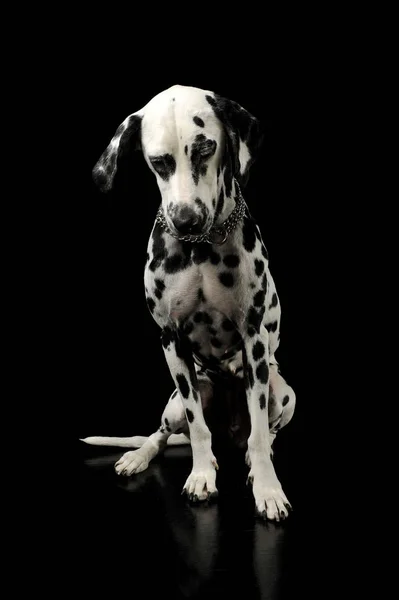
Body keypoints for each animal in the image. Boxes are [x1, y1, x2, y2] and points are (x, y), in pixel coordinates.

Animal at [83, 84, 296, 520]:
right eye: (158, 162)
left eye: (205, 149)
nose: (185, 220)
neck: (200, 250)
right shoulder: (172, 342)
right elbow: (198, 429)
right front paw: (201, 477)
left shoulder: (254, 343)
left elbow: (260, 435)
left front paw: (267, 488)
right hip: (176, 402)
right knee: (162, 433)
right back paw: (140, 455)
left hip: (283, 391)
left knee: (261, 433)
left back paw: (253, 460)